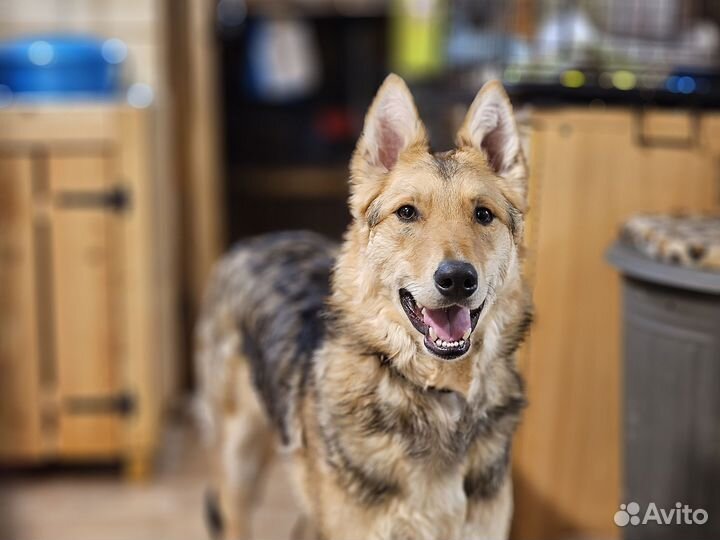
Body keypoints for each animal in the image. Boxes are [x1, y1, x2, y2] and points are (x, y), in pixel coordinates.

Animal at [194, 75, 532, 540]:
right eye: (407, 212)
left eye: (483, 214)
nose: (458, 280)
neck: (435, 395)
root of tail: (258, 239)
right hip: (239, 459)